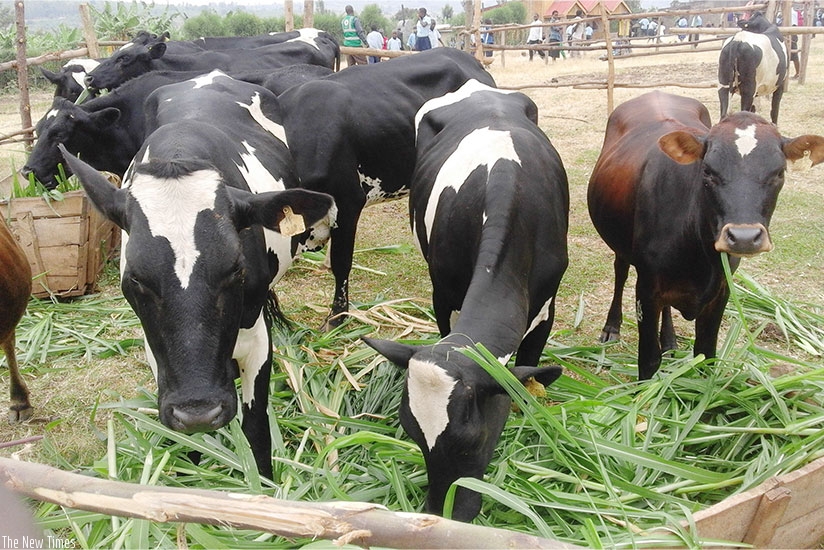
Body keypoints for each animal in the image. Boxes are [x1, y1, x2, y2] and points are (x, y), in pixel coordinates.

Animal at [57, 71, 337, 478]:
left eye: (236, 268)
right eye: (136, 278)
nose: (199, 411)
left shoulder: (256, 340)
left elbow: (256, 429)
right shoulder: (156, 354)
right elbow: (189, 445)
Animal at [363, 80, 568, 522]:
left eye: (471, 439)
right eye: (412, 432)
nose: (444, 512)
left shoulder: (547, 304)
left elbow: (529, 380)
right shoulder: (442, 292)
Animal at [587, 90, 824, 380]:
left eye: (779, 173)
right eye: (708, 171)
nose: (744, 237)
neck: (699, 255)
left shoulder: (721, 289)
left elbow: (706, 354)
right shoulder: (647, 288)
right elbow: (649, 361)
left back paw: (669, 340)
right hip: (620, 246)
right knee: (620, 272)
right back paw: (612, 327)